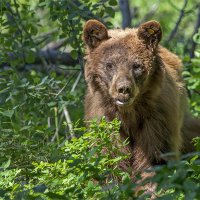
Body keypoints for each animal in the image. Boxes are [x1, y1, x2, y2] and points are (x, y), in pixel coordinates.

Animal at [81, 19, 200, 180]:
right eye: (109, 65)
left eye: (136, 65)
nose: (124, 89)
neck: (129, 113)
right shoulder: (106, 119)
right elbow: (110, 159)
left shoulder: (156, 119)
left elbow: (155, 159)